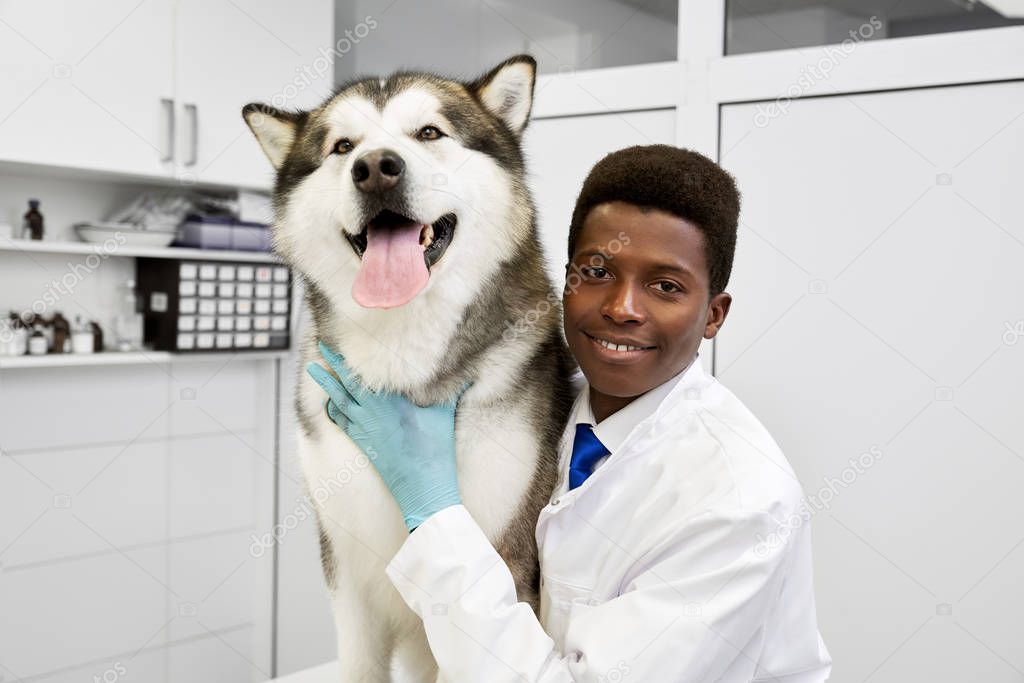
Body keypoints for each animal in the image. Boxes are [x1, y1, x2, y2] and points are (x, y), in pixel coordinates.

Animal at [240, 56, 577, 679]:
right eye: (343, 146)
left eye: (429, 132)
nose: (375, 168)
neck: (401, 358)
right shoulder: (347, 571)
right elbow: (357, 663)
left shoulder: (504, 555)